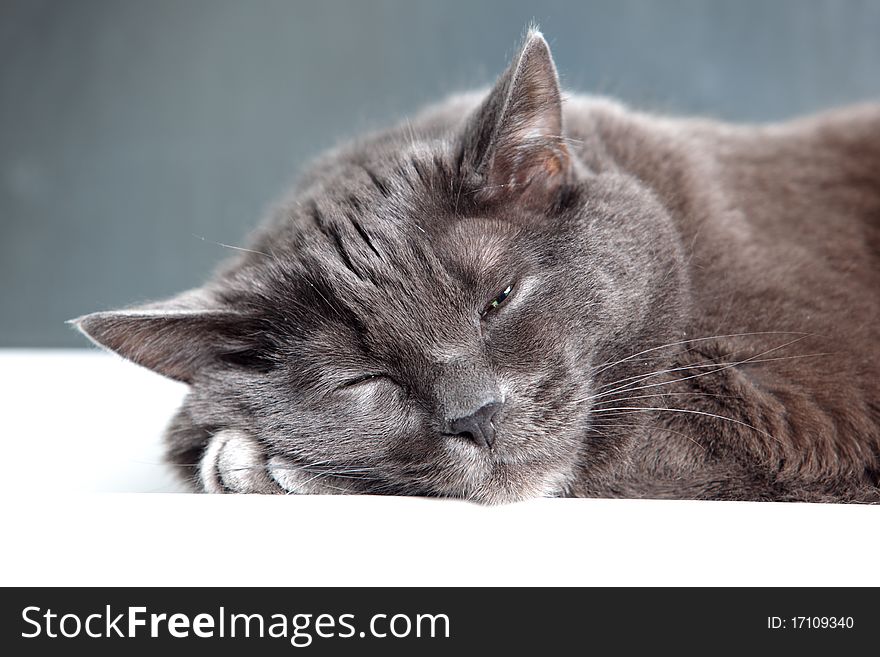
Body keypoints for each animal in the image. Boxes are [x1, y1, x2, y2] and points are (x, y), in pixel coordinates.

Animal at [70, 29, 880, 502]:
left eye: (500, 298)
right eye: (362, 378)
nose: (477, 413)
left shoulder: (797, 405)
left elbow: (627, 442)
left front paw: (264, 460)